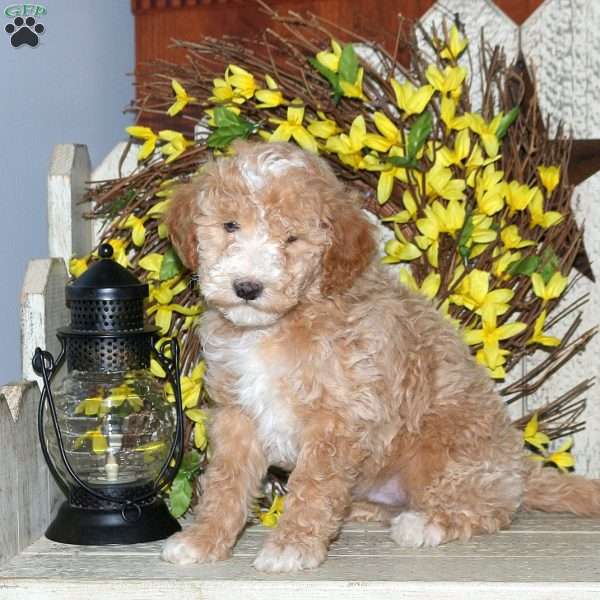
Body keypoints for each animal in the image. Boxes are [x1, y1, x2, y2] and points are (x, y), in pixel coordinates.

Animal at [162, 139, 600, 572]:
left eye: (292, 239)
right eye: (230, 226)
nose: (247, 287)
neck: (275, 326)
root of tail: (518, 464)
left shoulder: (336, 420)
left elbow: (312, 486)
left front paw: (293, 544)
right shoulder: (236, 414)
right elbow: (226, 482)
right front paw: (205, 539)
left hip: (448, 455)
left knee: (488, 506)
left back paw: (425, 524)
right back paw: (363, 510)